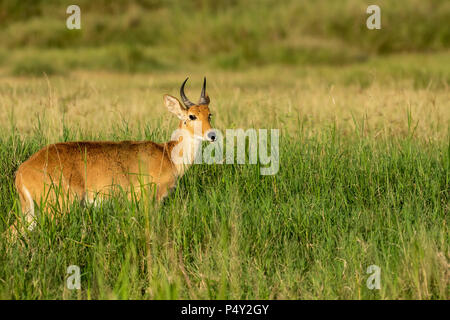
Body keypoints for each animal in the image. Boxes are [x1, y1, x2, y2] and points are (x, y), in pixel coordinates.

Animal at [7, 77, 216, 238]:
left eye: (209, 114)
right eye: (191, 116)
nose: (212, 135)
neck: (167, 155)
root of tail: (22, 170)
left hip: (31, 211)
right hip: (55, 209)